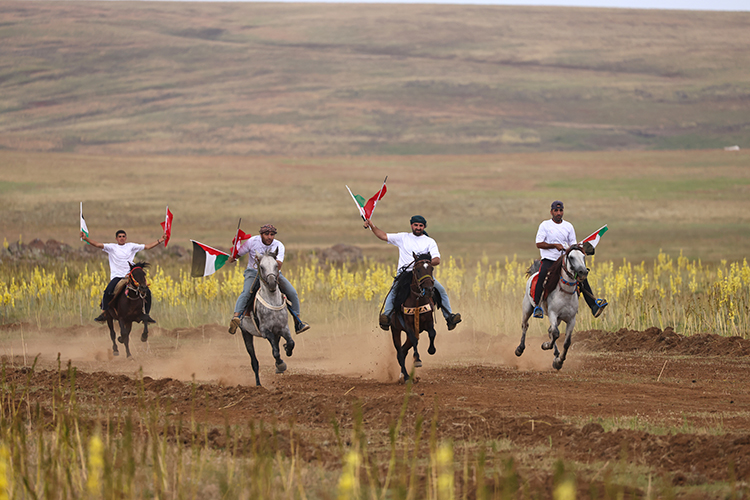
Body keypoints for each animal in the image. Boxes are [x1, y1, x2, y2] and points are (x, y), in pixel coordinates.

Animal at [239, 250, 296, 386]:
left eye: (276, 265)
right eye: (261, 267)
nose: (272, 283)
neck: (272, 301)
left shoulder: (283, 328)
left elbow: (291, 342)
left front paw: (287, 350)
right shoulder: (265, 331)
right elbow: (275, 352)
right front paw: (281, 365)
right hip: (246, 333)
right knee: (254, 361)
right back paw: (258, 384)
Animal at [388, 254, 440, 382]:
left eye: (431, 268)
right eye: (418, 270)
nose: (429, 289)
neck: (417, 300)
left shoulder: (429, 321)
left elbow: (432, 333)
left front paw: (431, 350)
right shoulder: (408, 325)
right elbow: (415, 340)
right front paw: (417, 360)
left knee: (403, 350)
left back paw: (403, 374)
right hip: (395, 331)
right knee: (400, 352)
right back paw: (406, 376)